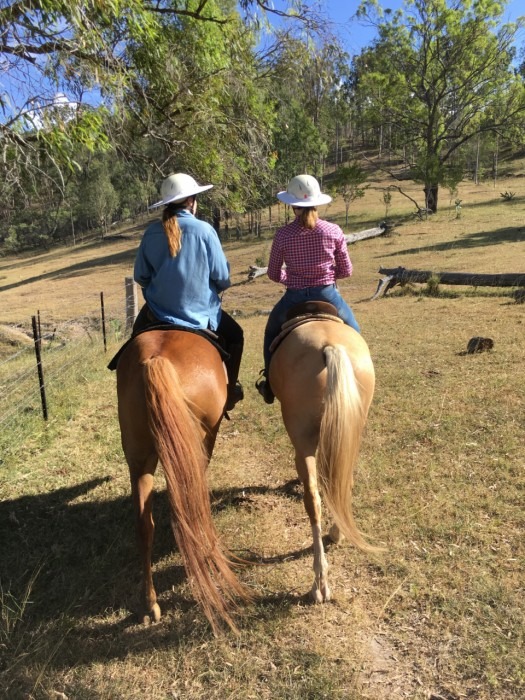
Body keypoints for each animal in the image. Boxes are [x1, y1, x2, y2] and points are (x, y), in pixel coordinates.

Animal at [268, 318, 374, 600]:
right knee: (342, 483)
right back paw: (337, 534)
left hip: (303, 440)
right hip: (351, 431)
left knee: (313, 500)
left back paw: (319, 581)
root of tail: (330, 347)